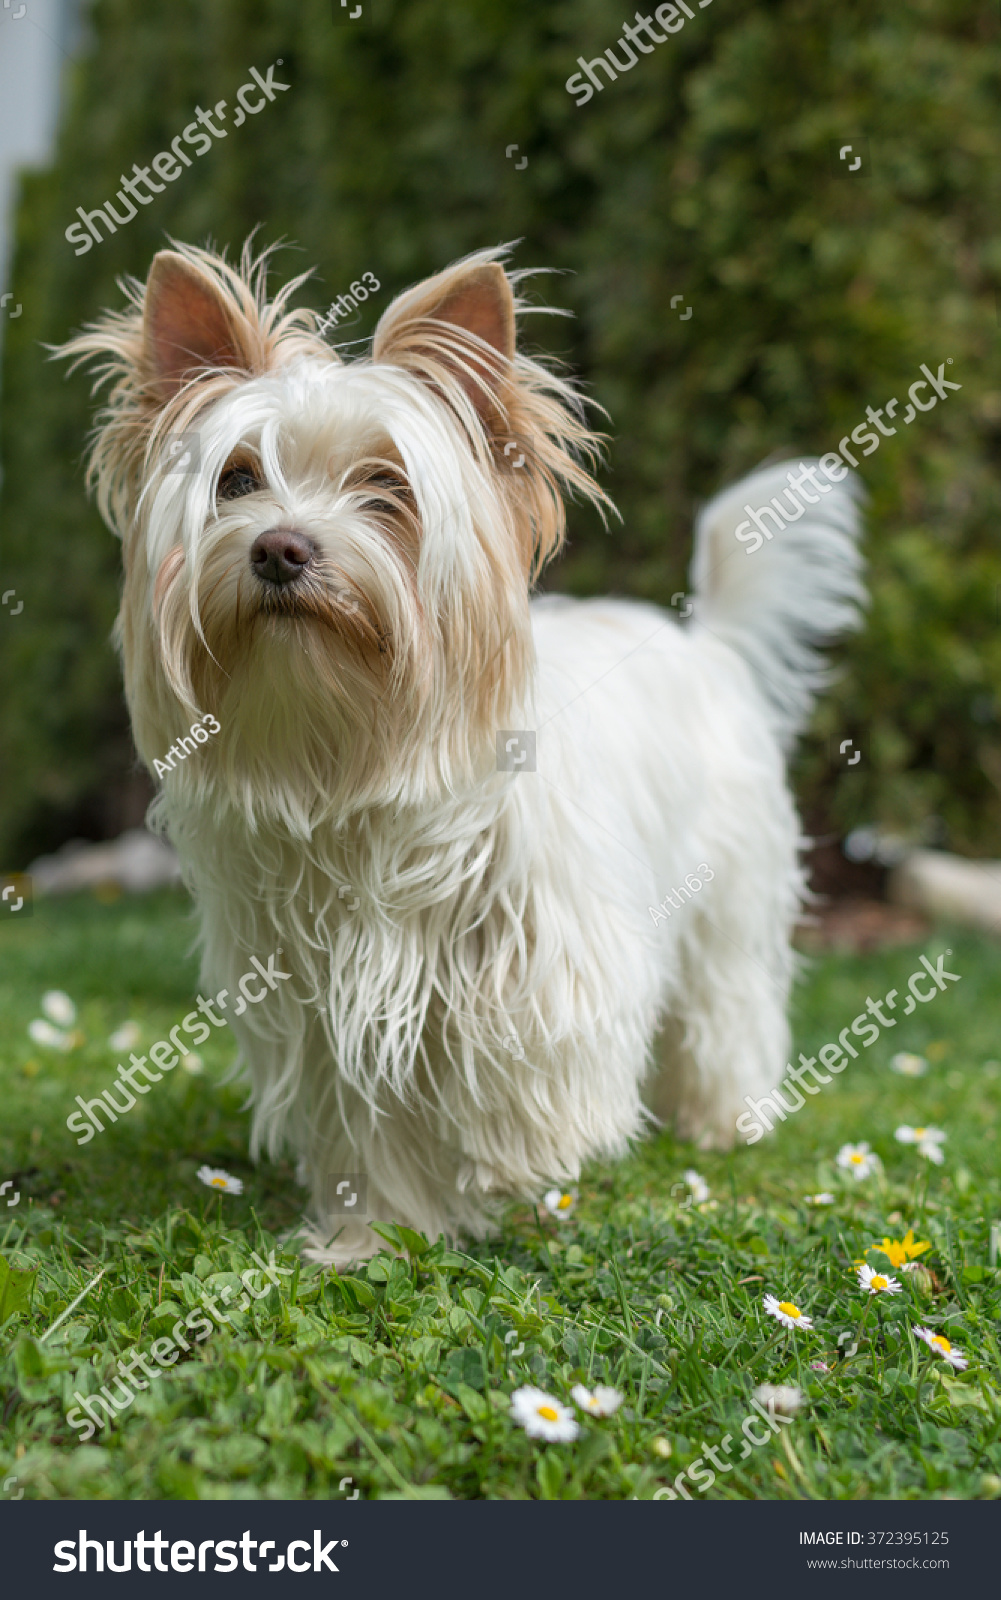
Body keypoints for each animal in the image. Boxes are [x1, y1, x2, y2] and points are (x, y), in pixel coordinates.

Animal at [58, 236, 863, 1260]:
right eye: (235, 480)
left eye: (387, 487)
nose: (279, 549)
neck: (351, 756)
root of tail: (705, 643)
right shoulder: (326, 1005)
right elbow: (367, 1123)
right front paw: (372, 1236)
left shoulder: (549, 955)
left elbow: (524, 1069)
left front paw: (513, 1164)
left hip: (728, 901)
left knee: (728, 1011)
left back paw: (725, 1122)